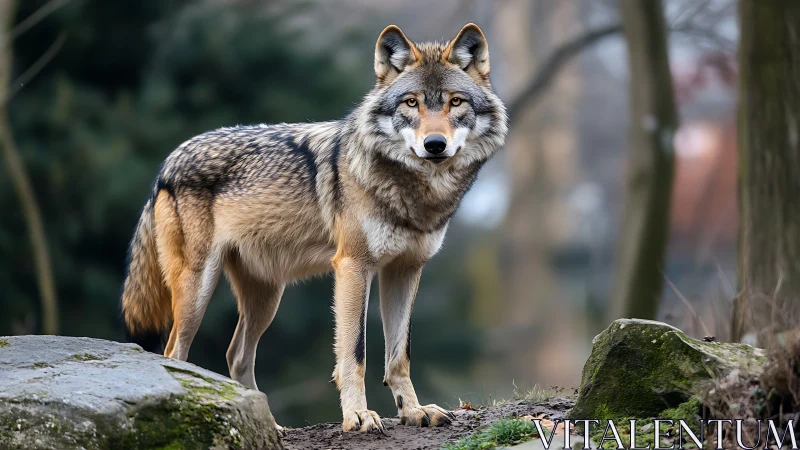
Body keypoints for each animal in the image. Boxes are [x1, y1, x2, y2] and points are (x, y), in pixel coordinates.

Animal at [121, 23, 507, 432]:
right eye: (411, 103)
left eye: (455, 102)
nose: (434, 144)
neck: (415, 192)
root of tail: (168, 161)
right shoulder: (353, 267)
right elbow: (355, 353)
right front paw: (358, 416)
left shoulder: (405, 270)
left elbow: (399, 355)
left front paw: (413, 411)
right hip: (198, 290)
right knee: (173, 351)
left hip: (266, 298)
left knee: (236, 354)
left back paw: (270, 426)